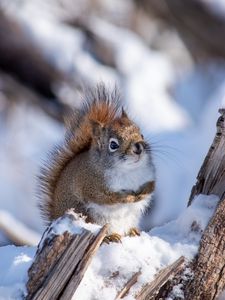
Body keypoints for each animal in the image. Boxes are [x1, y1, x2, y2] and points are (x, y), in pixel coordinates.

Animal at [39, 84, 155, 241]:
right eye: (113, 145)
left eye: (141, 134)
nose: (138, 147)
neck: (129, 170)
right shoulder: (91, 184)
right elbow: (105, 197)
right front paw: (128, 197)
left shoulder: (150, 174)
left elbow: (151, 186)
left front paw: (142, 194)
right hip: (88, 215)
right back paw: (110, 237)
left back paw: (132, 231)